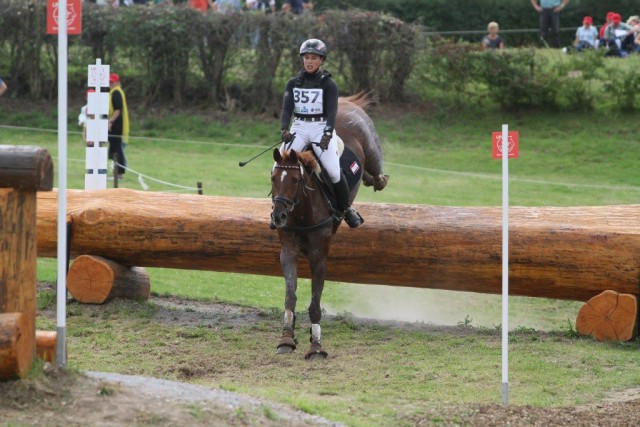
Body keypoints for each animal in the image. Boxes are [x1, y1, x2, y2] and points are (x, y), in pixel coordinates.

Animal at [268, 93, 388, 362]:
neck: (302, 212)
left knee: (378, 173)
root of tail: (345, 102)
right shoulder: (288, 252)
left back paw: (373, 181)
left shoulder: (318, 255)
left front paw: (316, 347)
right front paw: (286, 339)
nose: (279, 216)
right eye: (273, 179)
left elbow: (315, 302)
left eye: (295, 180)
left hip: (371, 147)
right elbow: (290, 295)